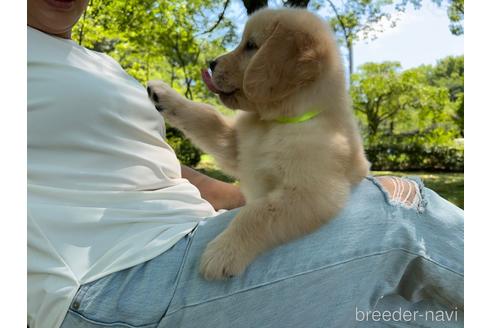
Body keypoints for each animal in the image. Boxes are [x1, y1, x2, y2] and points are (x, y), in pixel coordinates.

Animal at [146, 7, 368, 280]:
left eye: (251, 46)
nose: (212, 63)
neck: (275, 123)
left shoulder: (313, 191)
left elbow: (257, 212)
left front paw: (224, 251)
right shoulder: (236, 147)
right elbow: (207, 116)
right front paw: (164, 94)